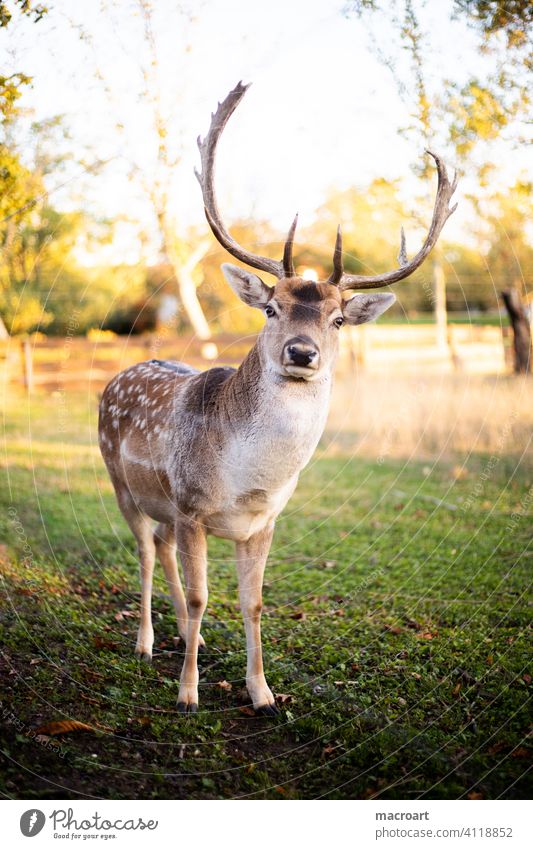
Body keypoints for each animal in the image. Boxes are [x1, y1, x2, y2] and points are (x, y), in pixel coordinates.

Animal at [101, 81, 458, 716]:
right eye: (271, 308)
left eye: (338, 319)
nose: (301, 352)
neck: (248, 480)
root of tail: (116, 378)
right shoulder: (192, 506)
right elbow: (204, 598)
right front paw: (188, 695)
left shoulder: (263, 521)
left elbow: (254, 603)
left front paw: (262, 693)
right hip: (122, 481)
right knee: (143, 551)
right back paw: (145, 643)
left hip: (160, 503)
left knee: (160, 550)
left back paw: (178, 635)